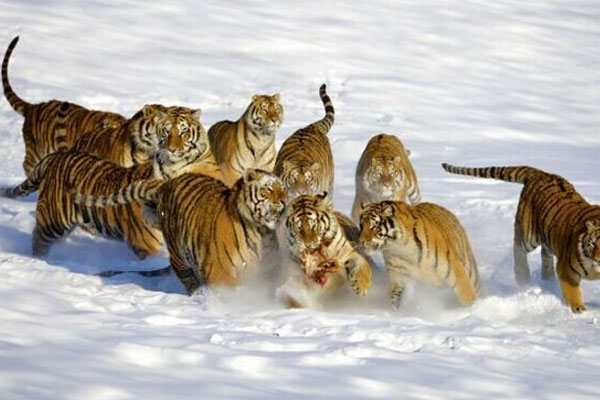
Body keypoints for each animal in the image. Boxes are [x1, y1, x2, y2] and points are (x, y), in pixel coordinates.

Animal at [72, 169, 288, 294]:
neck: (261, 232)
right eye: (268, 190)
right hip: (179, 253)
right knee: (186, 277)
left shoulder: (268, 270)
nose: (285, 201)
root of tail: (166, 184)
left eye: (284, 190)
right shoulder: (221, 273)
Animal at [440, 162, 600, 312]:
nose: (598, 260)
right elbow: (572, 291)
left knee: (545, 255)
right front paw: (578, 309)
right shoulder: (566, 269)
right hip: (528, 234)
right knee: (518, 247)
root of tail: (542, 173)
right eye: (593, 244)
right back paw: (523, 278)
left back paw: (548, 279)